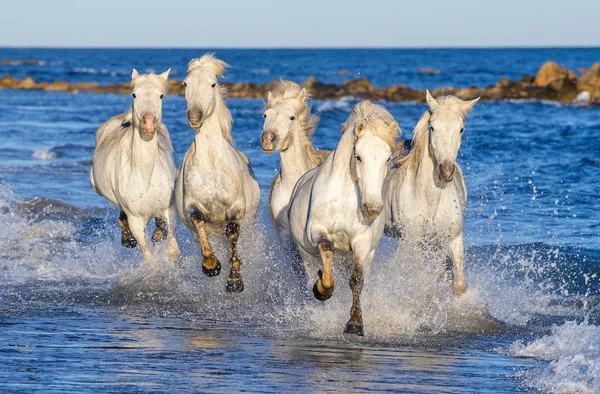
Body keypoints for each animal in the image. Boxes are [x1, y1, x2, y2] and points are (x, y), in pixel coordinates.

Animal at [89, 68, 178, 264]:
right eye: (134, 94)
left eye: (161, 95)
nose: (148, 123)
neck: (145, 173)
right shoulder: (136, 219)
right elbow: (148, 254)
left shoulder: (169, 209)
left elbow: (172, 248)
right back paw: (127, 237)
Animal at [173, 53, 258, 290]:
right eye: (185, 84)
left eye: (212, 84)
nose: (194, 117)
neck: (211, 165)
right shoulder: (193, 205)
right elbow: (199, 220)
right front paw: (211, 265)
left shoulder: (236, 208)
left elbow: (232, 232)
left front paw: (235, 280)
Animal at [288, 100, 398, 334]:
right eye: (358, 156)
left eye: (388, 158)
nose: (371, 208)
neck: (344, 198)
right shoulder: (316, 231)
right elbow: (326, 249)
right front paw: (322, 290)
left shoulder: (361, 243)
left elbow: (357, 279)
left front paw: (355, 323)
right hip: (305, 254)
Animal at [384, 90, 478, 296]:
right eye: (433, 128)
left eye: (461, 129)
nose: (446, 172)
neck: (429, 200)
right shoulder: (414, 243)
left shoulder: (453, 239)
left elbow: (459, 284)